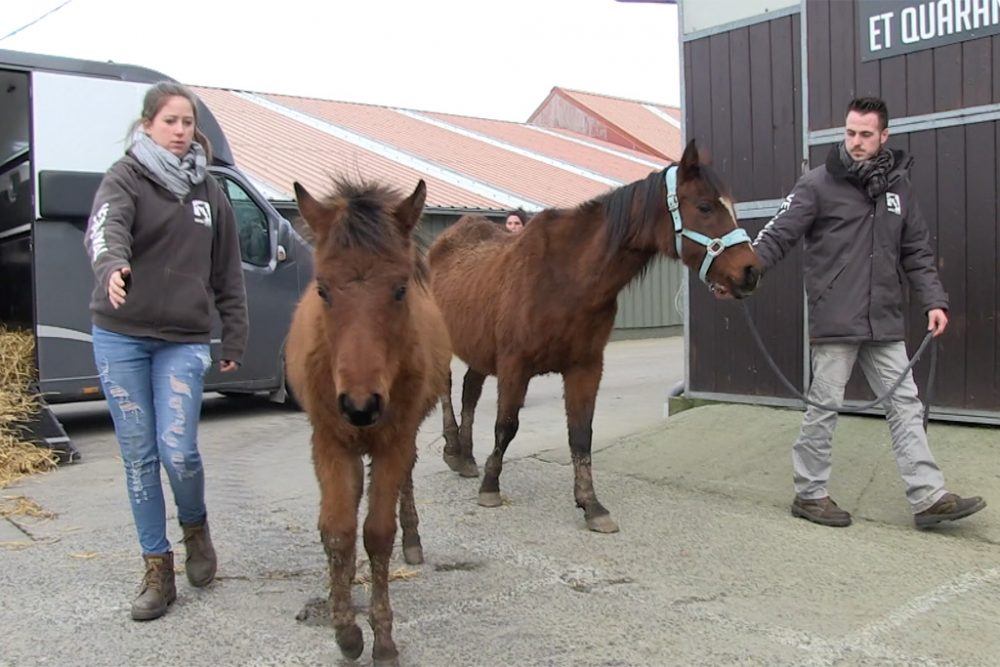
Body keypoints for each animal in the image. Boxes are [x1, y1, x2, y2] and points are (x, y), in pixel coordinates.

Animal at [286, 176, 450, 664]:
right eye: (322, 289)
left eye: (400, 289)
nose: (360, 406)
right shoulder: (329, 441)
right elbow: (338, 531)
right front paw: (345, 630)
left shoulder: (394, 439)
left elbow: (378, 533)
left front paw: (383, 638)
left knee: (405, 483)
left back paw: (413, 540)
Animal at [428, 138, 756, 536]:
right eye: (705, 206)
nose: (750, 271)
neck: (565, 278)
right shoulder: (514, 364)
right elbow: (506, 426)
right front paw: (491, 487)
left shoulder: (585, 366)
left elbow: (581, 434)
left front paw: (591, 504)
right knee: (446, 389)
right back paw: (452, 450)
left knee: (470, 392)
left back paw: (466, 456)